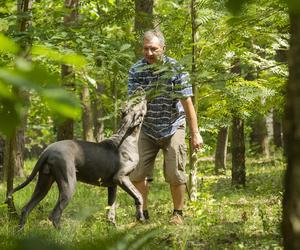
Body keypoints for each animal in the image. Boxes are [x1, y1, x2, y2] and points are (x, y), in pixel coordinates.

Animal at [6, 94, 147, 229]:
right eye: (137, 105)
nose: (143, 97)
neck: (127, 137)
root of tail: (47, 151)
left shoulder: (113, 185)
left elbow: (111, 209)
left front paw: (114, 229)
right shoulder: (121, 177)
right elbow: (139, 195)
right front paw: (140, 217)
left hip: (44, 183)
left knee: (26, 209)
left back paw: (20, 231)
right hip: (69, 184)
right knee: (55, 214)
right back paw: (63, 234)